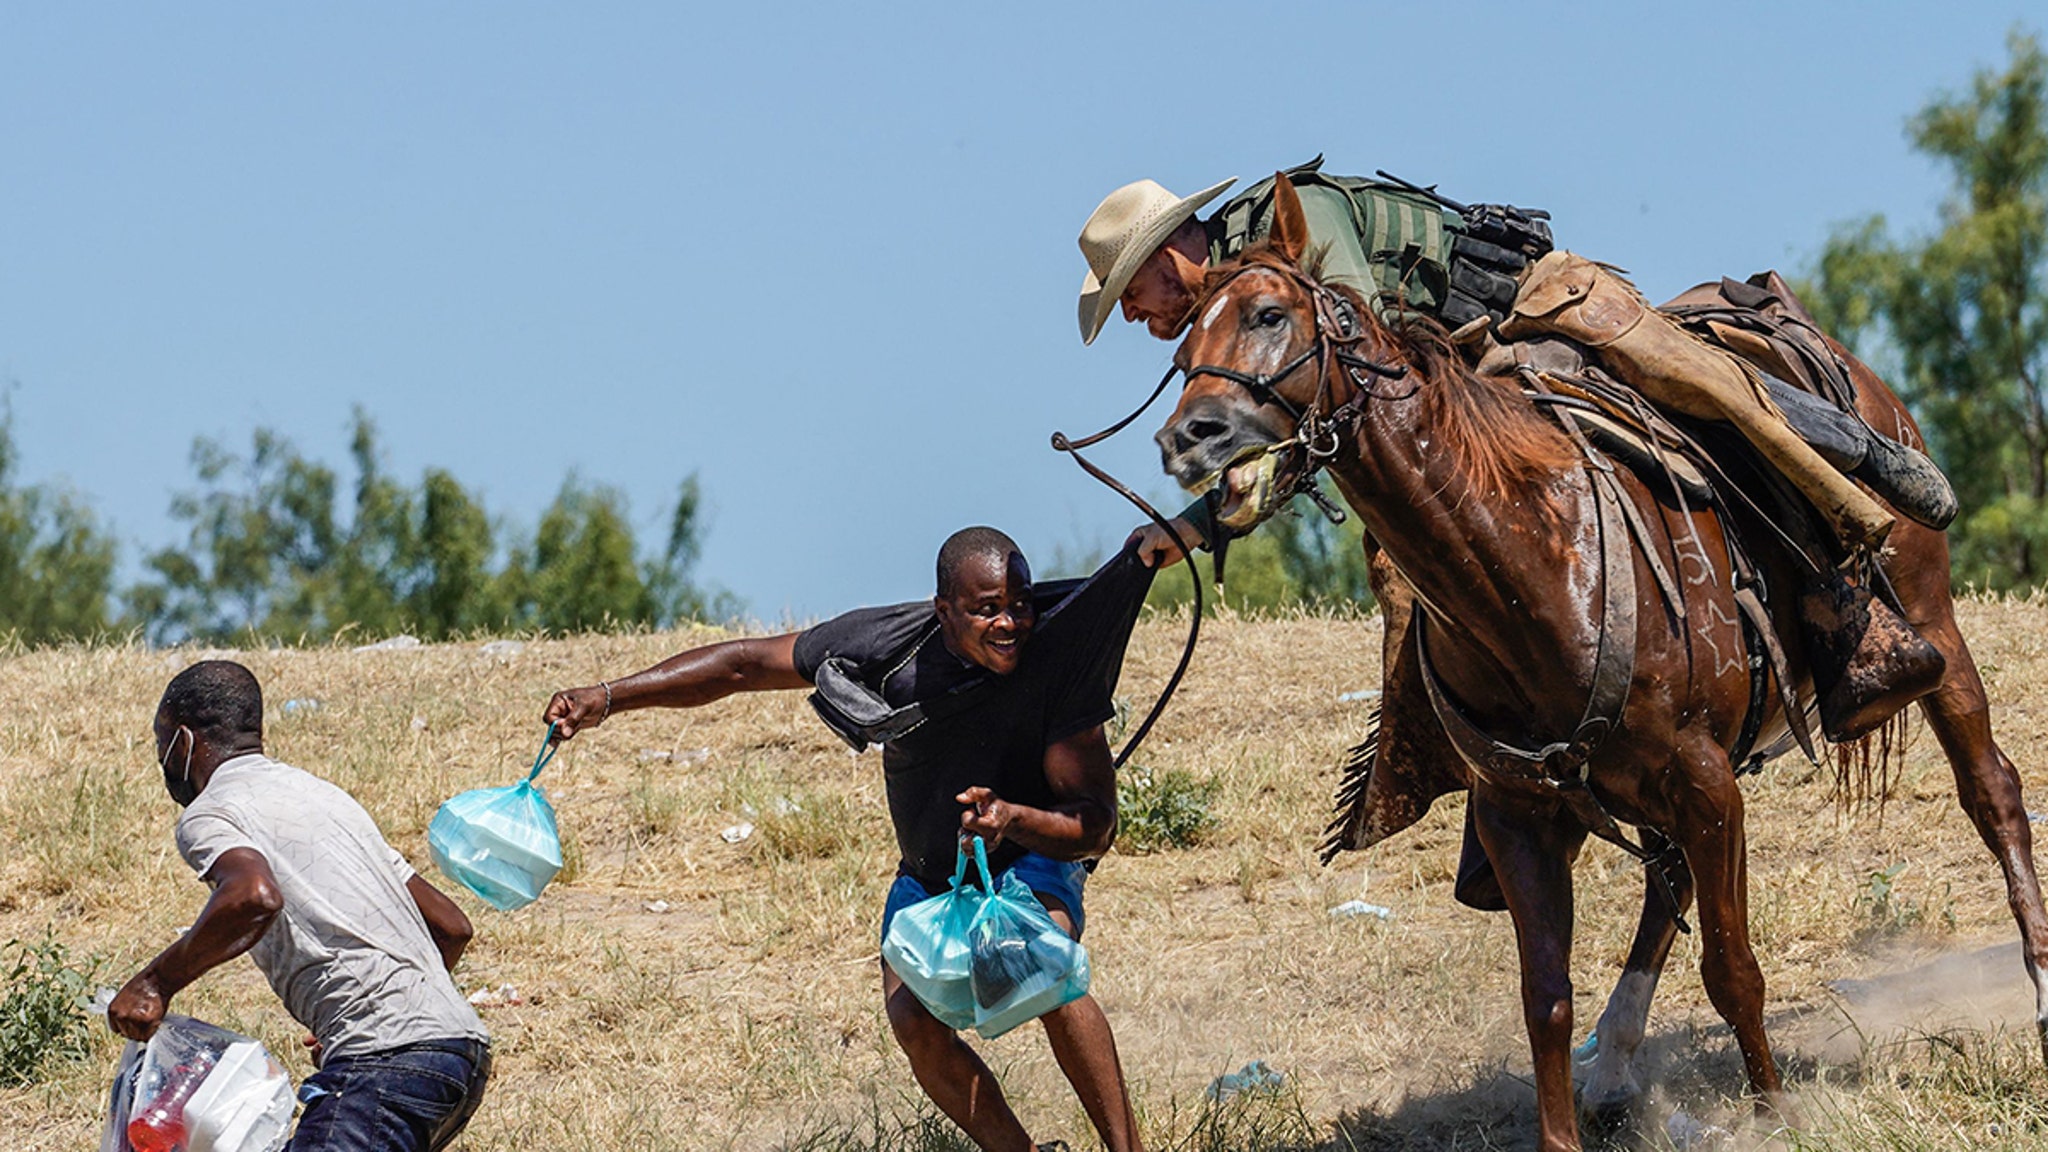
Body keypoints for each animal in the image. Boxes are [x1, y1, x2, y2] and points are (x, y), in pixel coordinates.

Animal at [1155, 175, 2048, 1139]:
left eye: (1269, 314)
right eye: (1184, 345)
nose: (1189, 438)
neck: (1532, 560)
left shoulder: (1704, 777)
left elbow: (1733, 969)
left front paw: (1776, 1113)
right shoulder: (1520, 812)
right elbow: (1545, 998)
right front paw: (1563, 1129)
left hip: (1931, 624)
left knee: (1991, 791)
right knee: (1667, 887)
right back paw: (1615, 1067)